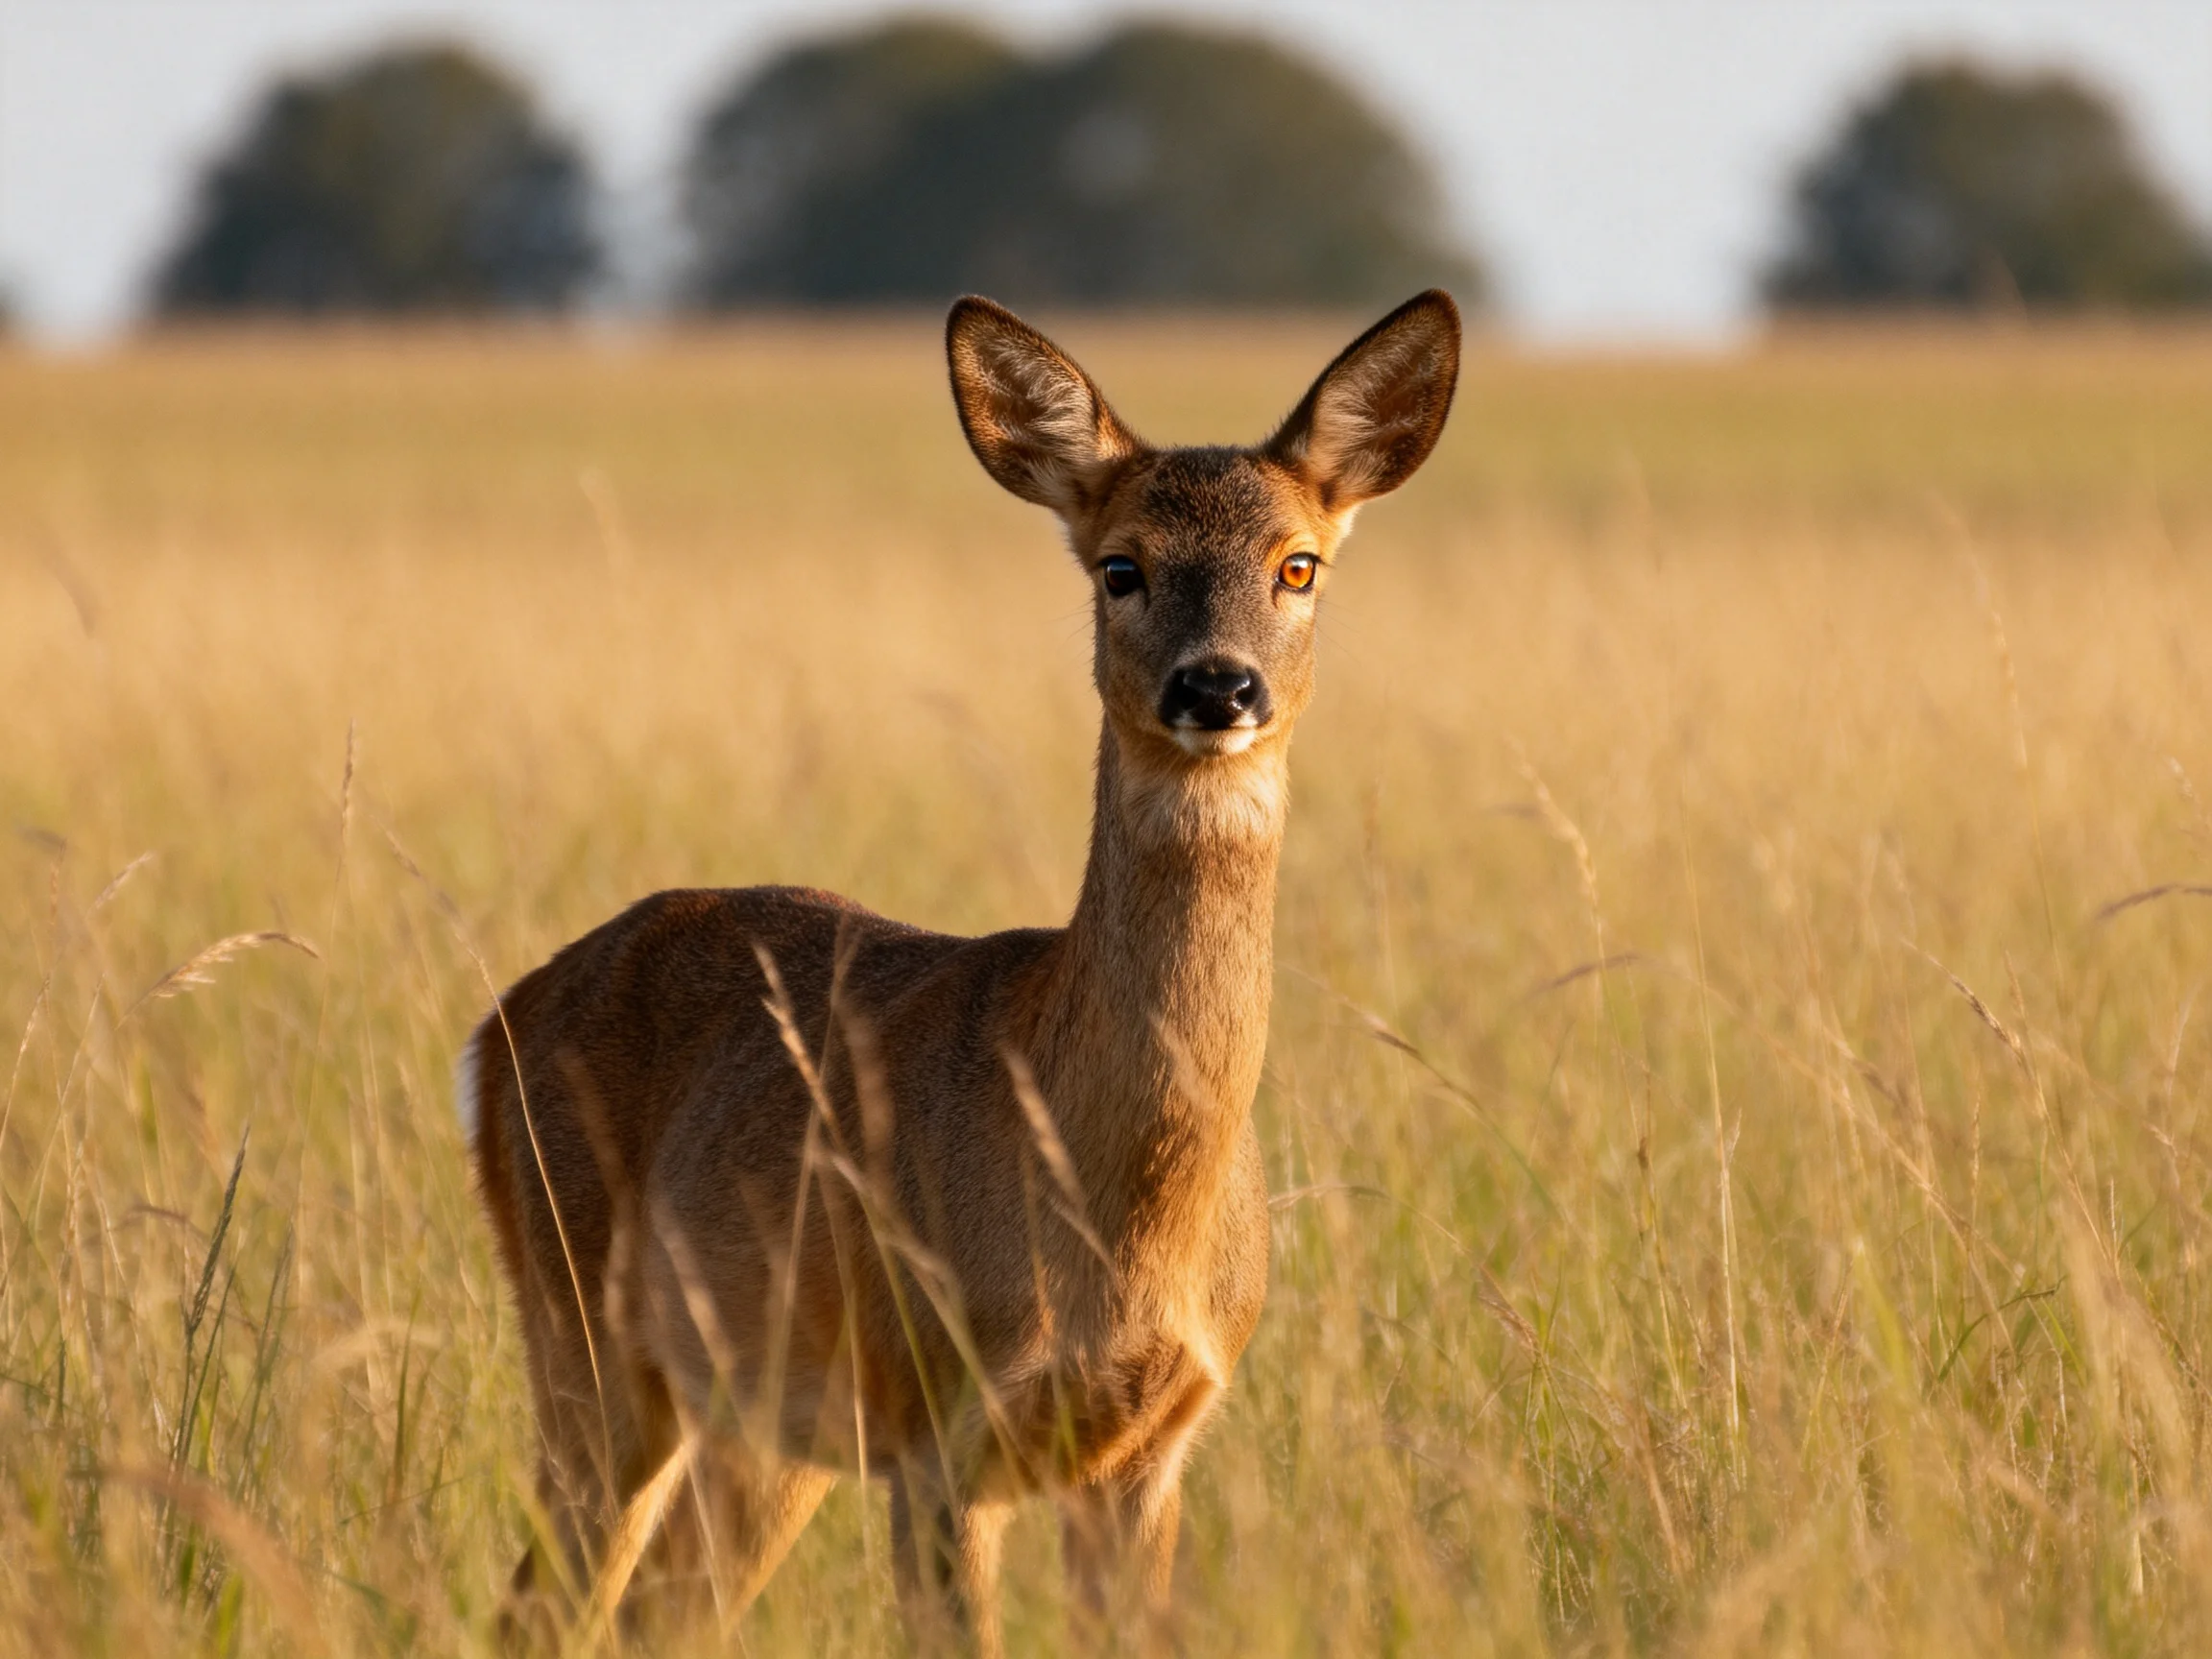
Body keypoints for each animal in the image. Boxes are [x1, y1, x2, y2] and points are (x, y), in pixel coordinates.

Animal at [457, 288, 1460, 1652]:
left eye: (1299, 563)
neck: (1117, 1218)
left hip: (755, 1428)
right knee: (538, 1603)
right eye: (1122, 565)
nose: (1218, 685)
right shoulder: (940, 1424)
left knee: (659, 1607)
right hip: (584, 1330)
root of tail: (493, 1025)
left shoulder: (1151, 1451)